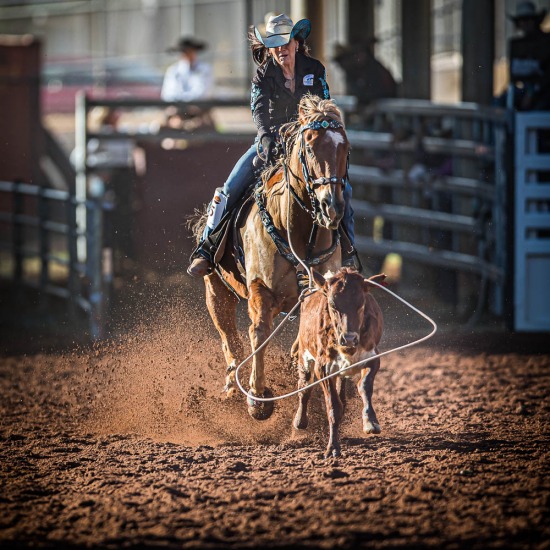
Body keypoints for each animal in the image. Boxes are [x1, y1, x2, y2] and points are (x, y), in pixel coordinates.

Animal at [192, 95, 352, 422]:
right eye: (309, 146)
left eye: (345, 148)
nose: (331, 206)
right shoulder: (260, 292)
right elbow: (259, 334)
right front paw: (258, 399)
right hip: (216, 291)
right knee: (230, 339)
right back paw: (233, 385)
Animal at [294, 270, 384, 460]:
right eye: (333, 305)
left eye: (361, 304)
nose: (349, 339)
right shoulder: (323, 368)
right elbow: (333, 406)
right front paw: (333, 447)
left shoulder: (373, 358)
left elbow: (364, 386)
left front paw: (370, 422)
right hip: (304, 355)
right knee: (304, 388)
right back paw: (300, 420)